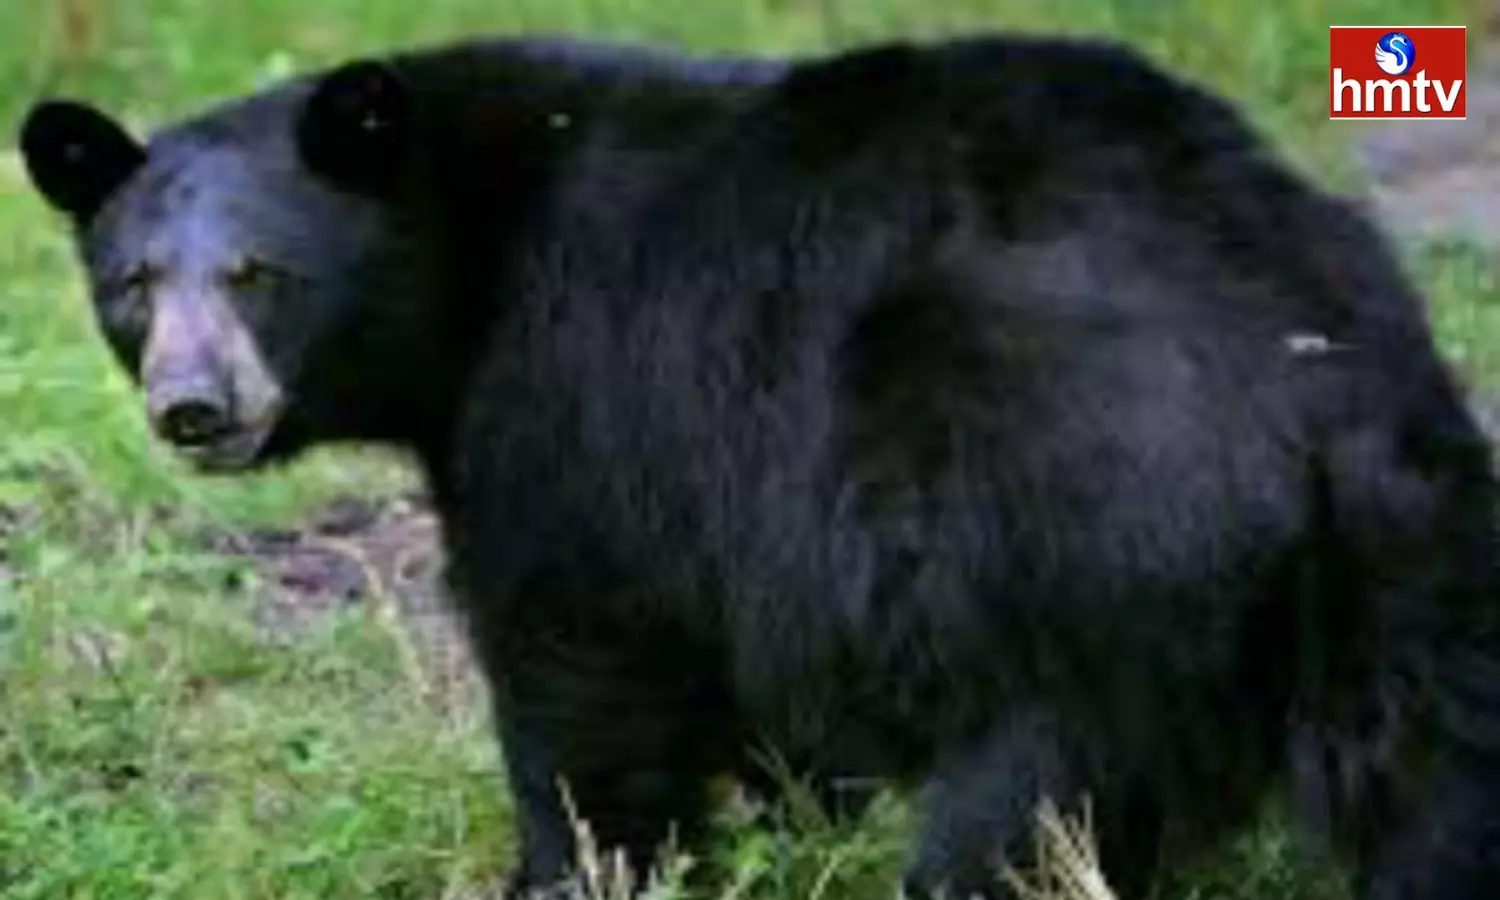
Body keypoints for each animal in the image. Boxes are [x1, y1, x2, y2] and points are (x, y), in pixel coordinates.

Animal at [16, 31, 1500, 900]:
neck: (467, 254)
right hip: (1412, 579)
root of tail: (1309, 380)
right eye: (135, 282)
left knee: (1027, 805)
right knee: (1435, 798)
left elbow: (578, 662)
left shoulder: (582, 392)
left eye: (258, 274)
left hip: (1081, 548)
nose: (193, 408)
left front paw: (575, 867)